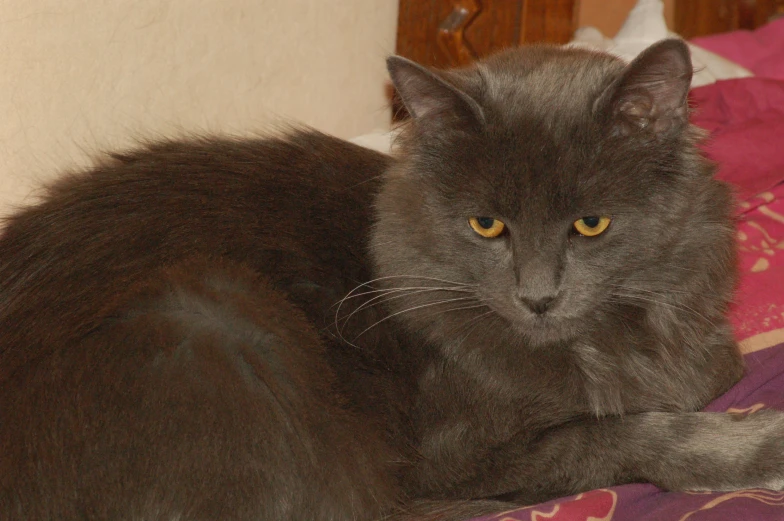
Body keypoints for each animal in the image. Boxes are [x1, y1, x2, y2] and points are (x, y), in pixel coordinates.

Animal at [1, 38, 784, 516]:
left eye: (590, 224)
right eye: (486, 225)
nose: (537, 297)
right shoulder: (452, 457)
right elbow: (619, 433)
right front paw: (757, 444)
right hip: (204, 313)